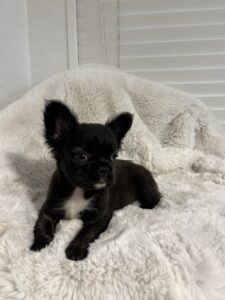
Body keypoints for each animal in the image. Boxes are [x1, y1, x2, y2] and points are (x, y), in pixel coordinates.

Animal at [30, 101, 160, 260]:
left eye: (113, 156)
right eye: (81, 156)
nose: (105, 168)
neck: (79, 189)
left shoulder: (98, 217)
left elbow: (86, 233)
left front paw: (76, 249)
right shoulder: (50, 208)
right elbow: (43, 225)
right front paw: (40, 243)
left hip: (146, 186)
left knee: (155, 199)